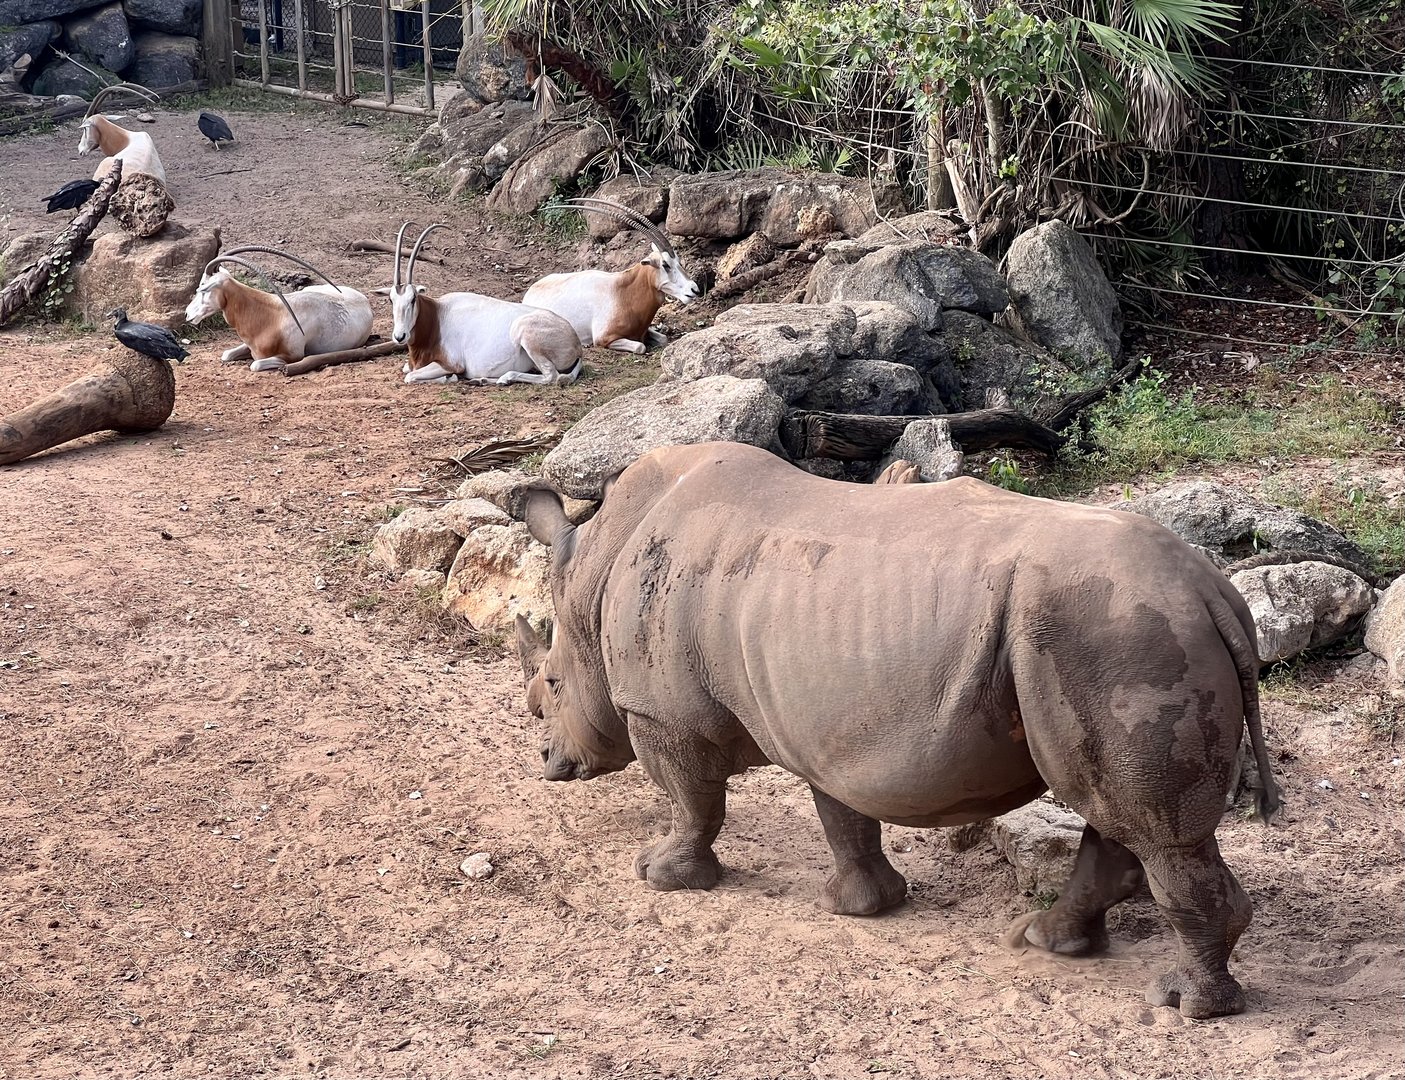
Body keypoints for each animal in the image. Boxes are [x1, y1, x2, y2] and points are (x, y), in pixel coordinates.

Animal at [514, 442, 1281, 1019]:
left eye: (550, 687)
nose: (548, 758)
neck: (593, 574)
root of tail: (1214, 593)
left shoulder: (663, 712)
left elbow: (691, 799)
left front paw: (662, 875)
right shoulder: (826, 726)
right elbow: (841, 815)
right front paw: (861, 908)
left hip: (1116, 640)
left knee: (1148, 828)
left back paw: (1183, 1004)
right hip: (1115, 640)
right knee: (1115, 811)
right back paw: (1047, 943)